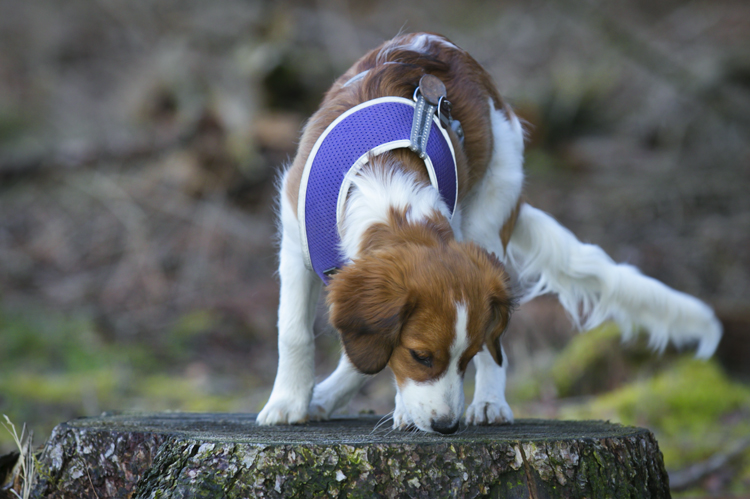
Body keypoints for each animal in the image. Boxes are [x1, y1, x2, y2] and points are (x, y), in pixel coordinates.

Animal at [258, 33, 724, 436]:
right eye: (420, 356)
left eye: (464, 359)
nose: (447, 426)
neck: (384, 183)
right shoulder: (295, 240)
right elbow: (294, 331)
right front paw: (288, 403)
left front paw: (405, 410)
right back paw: (326, 397)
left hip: (487, 223)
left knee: (495, 345)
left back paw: (490, 403)